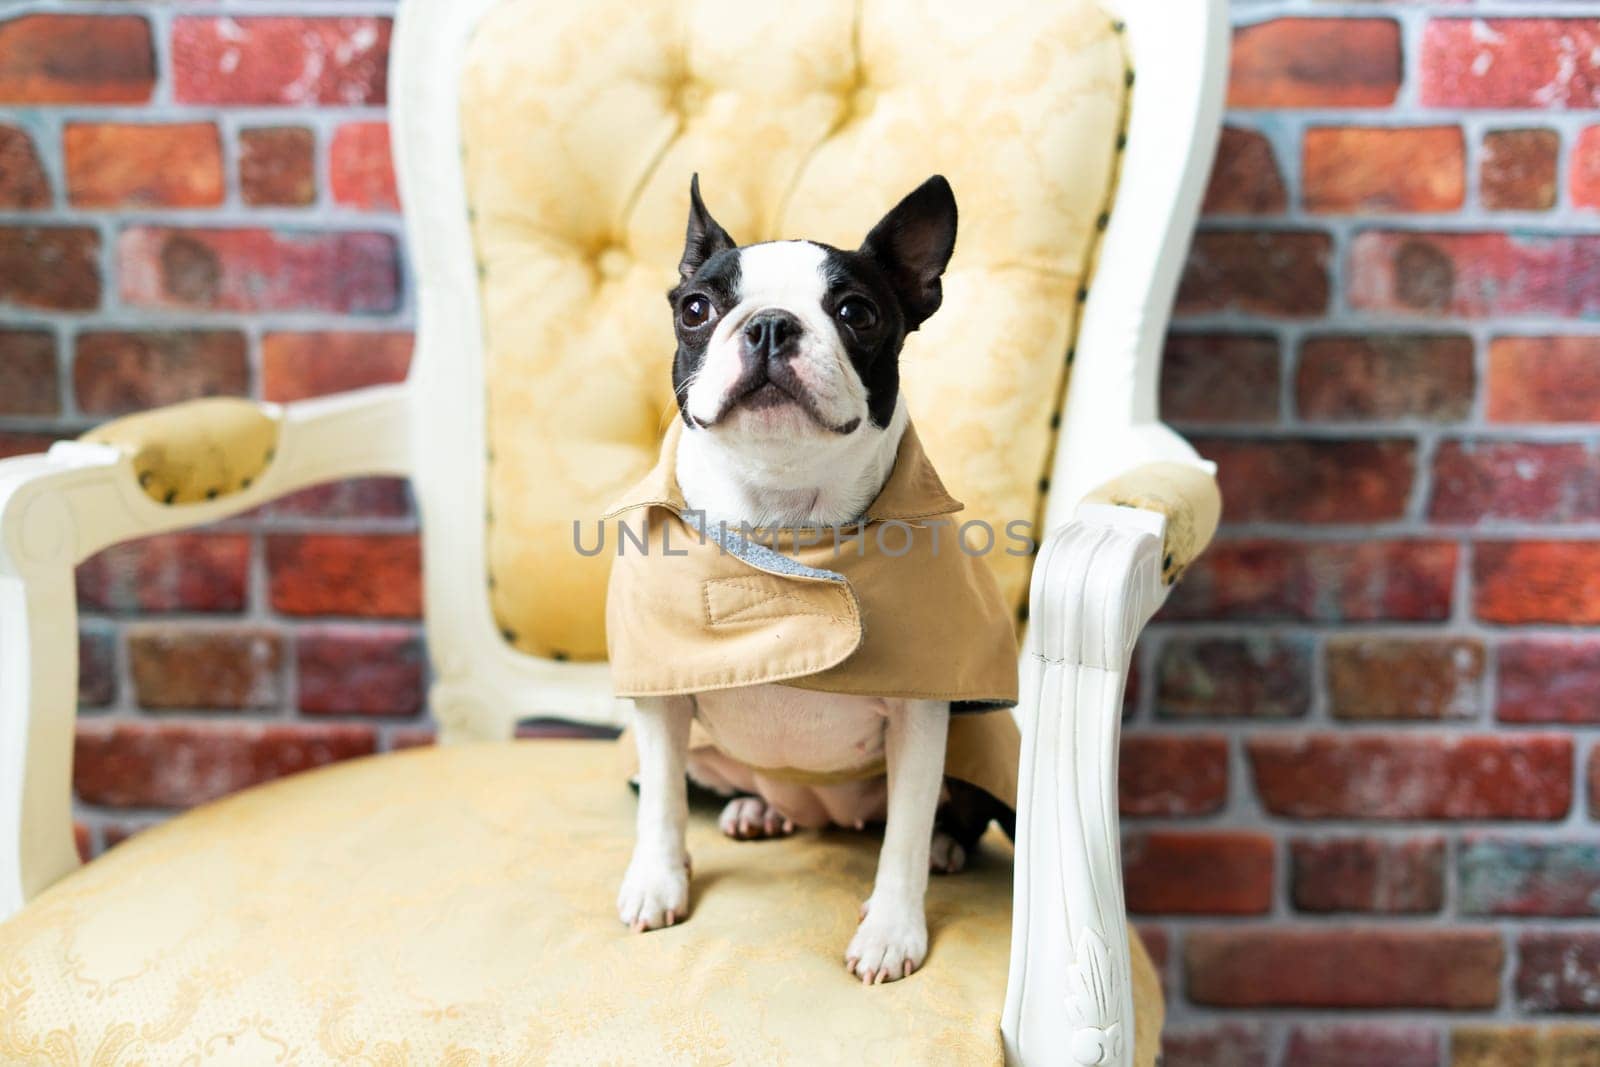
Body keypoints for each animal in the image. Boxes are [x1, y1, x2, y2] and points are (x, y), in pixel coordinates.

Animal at [614, 175, 985, 985]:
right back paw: (758, 810)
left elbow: (904, 832)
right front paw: (657, 881)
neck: (782, 521)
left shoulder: (922, 712)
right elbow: (659, 801)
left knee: (948, 817)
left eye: (857, 313)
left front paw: (892, 931)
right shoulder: (661, 693)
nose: (771, 326)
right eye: (696, 308)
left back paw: (946, 846)